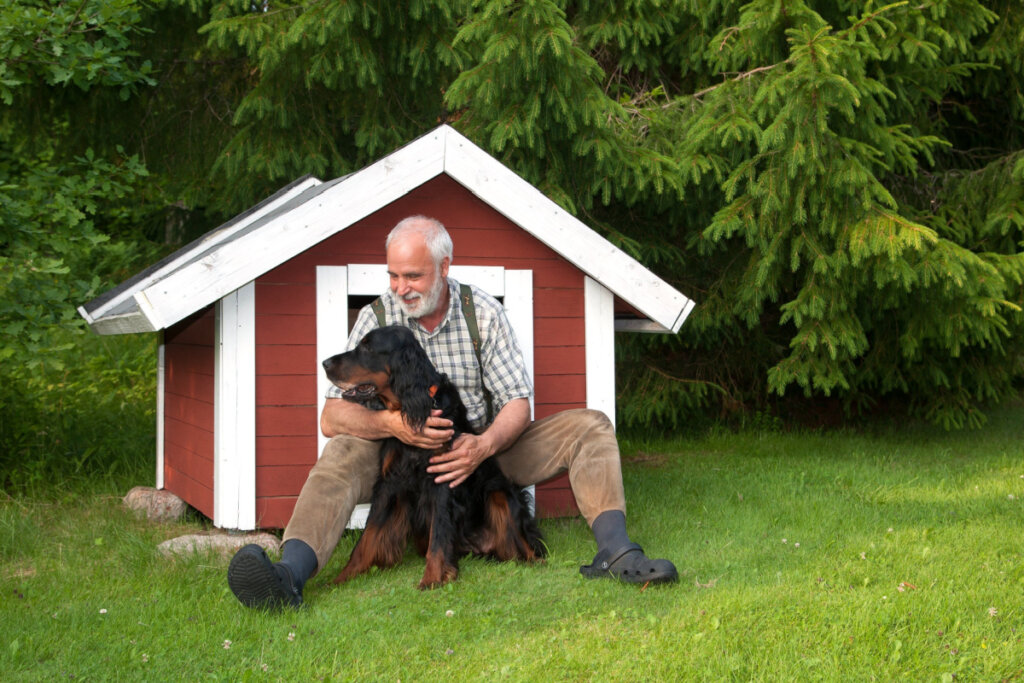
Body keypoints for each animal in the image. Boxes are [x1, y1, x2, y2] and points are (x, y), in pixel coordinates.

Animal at [321, 325, 544, 589]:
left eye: (367, 347)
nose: (324, 363)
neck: (416, 406)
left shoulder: (443, 479)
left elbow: (438, 533)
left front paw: (433, 577)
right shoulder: (389, 483)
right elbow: (367, 535)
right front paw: (342, 578)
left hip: (501, 492)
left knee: (526, 545)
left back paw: (533, 561)